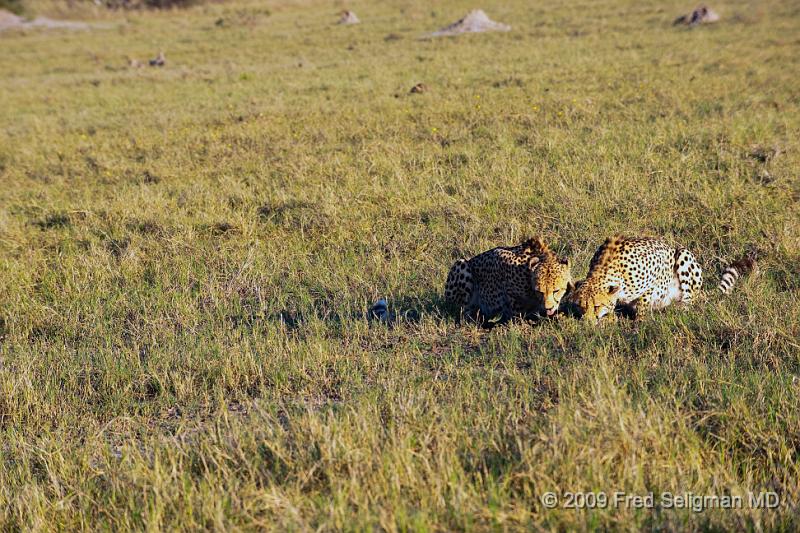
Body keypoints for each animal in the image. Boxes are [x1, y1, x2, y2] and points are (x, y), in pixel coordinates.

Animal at [444, 236, 576, 326]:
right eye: (540, 291)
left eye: (556, 291)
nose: (548, 308)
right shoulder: (501, 260)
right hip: (461, 264)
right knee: (464, 312)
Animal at [564, 235, 756, 322]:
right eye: (581, 307)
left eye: (597, 306)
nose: (588, 321)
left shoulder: (656, 271)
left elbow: (644, 299)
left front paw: (640, 321)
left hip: (683, 255)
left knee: (689, 302)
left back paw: (677, 310)